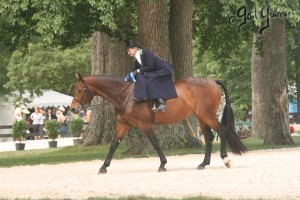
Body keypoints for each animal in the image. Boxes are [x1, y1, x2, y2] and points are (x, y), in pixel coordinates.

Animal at [70, 73, 246, 173]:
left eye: (79, 90)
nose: (72, 109)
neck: (126, 96)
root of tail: (211, 81)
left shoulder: (144, 125)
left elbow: (155, 143)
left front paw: (162, 164)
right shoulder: (123, 125)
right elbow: (114, 144)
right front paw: (104, 166)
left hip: (207, 116)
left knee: (222, 131)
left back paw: (225, 159)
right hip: (201, 118)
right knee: (209, 137)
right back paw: (203, 163)